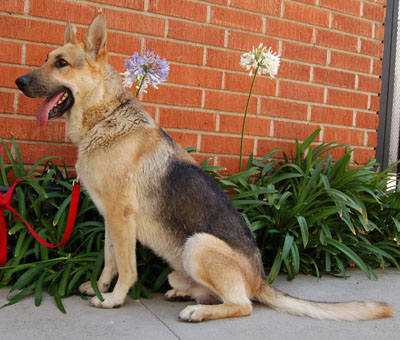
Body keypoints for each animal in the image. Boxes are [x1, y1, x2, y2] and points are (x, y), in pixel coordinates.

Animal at [14, 13, 394, 322]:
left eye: (62, 63)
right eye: (45, 60)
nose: (19, 82)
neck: (103, 118)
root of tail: (260, 278)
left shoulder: (121, 217)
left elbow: (126, 266)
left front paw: (114, 299)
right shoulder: (111, 218)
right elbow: (109, 260)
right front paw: (100, 287)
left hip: (198, 245)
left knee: (243, 305)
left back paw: (198, 311)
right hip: (182, 262)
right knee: (213, 294)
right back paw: (184, 293)